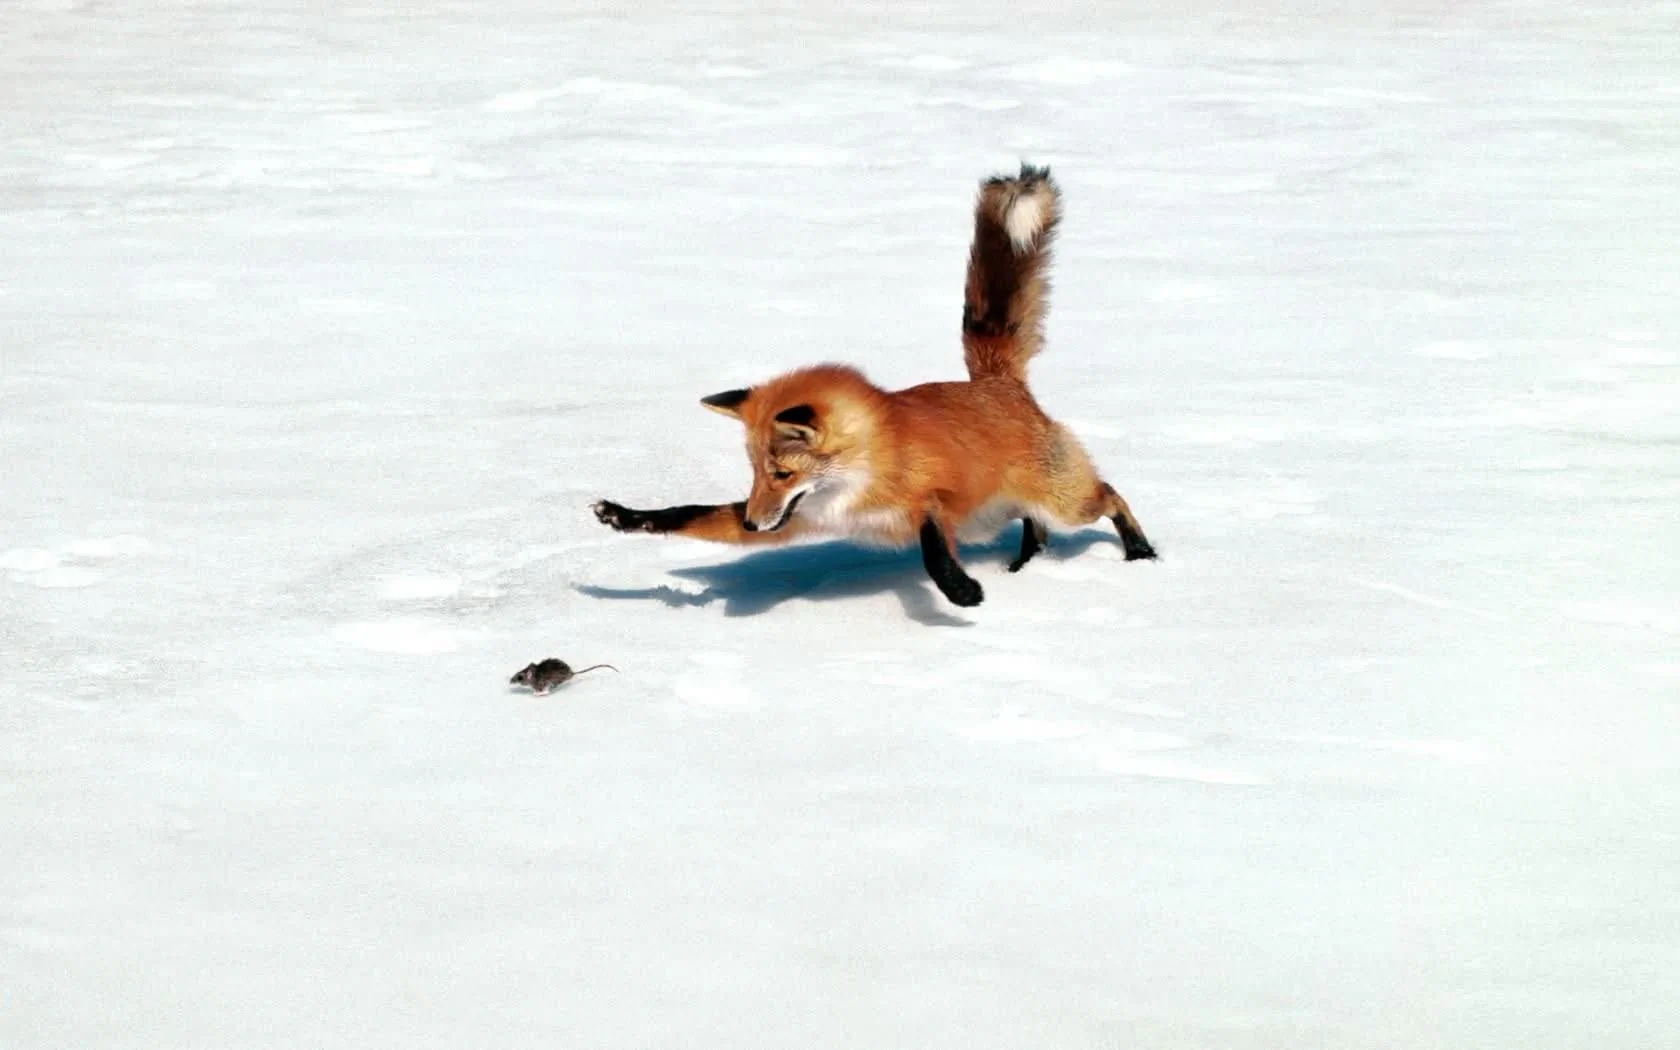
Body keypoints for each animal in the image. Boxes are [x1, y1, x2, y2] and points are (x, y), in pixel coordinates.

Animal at [592, 163, 1157, 608]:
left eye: (781, 472)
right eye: (753, 473)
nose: (752, 523)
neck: (860, 477)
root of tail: (997, 381)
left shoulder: (933, 499)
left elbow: (931, 545)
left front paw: (959, 591)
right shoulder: (798, 518)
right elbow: (686, 514)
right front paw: (625, 516)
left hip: (1063, 501)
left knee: (1109, 496)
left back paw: (1141, 552)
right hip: (1005, 512)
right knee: (1036, 527)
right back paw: (1025, 565)